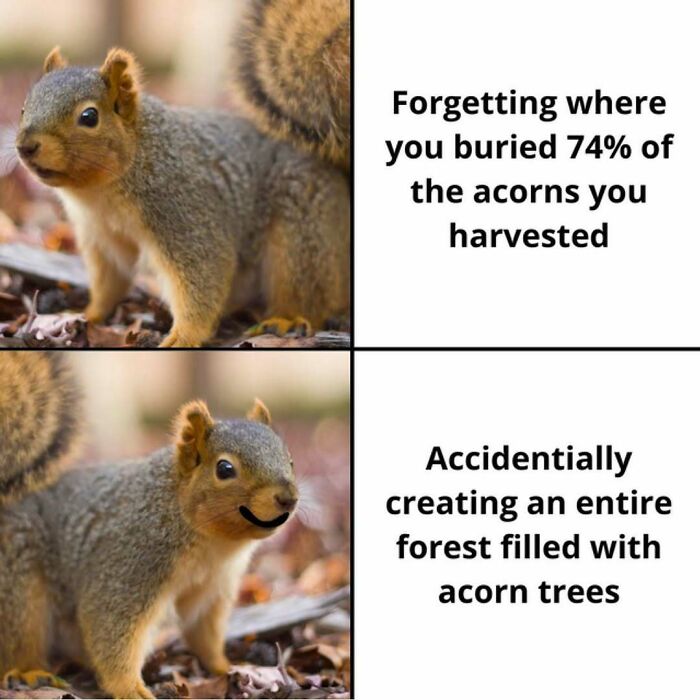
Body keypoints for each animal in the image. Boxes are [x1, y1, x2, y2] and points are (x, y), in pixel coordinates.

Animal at [0, 352, 299, 699]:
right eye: (224, 469)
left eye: (290, 459)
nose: (288, 498)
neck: (212, 543)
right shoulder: (131, 561)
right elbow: (109, 625)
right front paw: (131, 688)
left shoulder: (211, 589)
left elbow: (205, 635)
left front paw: (227, 666)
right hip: (19, 584)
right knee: (22, 636)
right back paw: (30, 671)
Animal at [15, 9, 350, 347]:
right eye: (23, 108)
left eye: (89, 117)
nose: (26, 146)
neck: (103, 192)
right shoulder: (103, 238)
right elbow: (109, 283)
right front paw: (88, 314)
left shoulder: (183, 209)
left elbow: (204, 274)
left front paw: (184, 336)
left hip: (302, 232)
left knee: (308, 293)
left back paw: (285, 319)